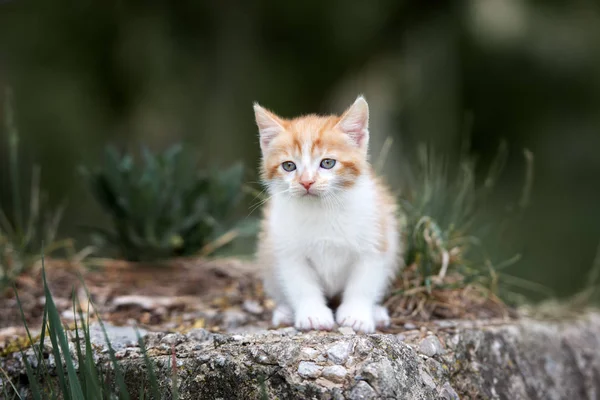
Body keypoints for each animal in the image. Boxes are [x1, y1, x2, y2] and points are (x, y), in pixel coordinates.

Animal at [251, 95, 400, 332]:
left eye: (327, 163)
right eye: (289, 166)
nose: (306, 182)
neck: (322, 208)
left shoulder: (375, 240)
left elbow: (363, 284)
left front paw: (357, 315)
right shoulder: (287, 249)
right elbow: (302, 285)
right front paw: (313, 315)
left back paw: (377, 313)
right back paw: (284, 312)